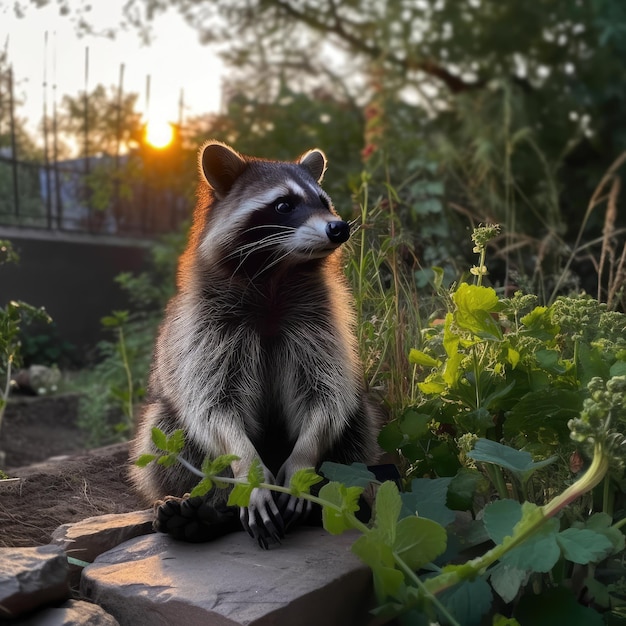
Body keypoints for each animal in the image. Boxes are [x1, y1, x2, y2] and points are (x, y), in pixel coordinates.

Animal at [129, 141, 378, 544]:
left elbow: (325, 396)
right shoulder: (207, 329)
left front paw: (302, 462)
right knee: (165, 431)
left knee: (355, 416)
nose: (340, 228)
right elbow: (214, 405)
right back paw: (211, 510)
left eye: (324, 202)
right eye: (284, 205)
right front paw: (250, 469)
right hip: (165, 433)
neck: (277, 272)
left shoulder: (319, 323)